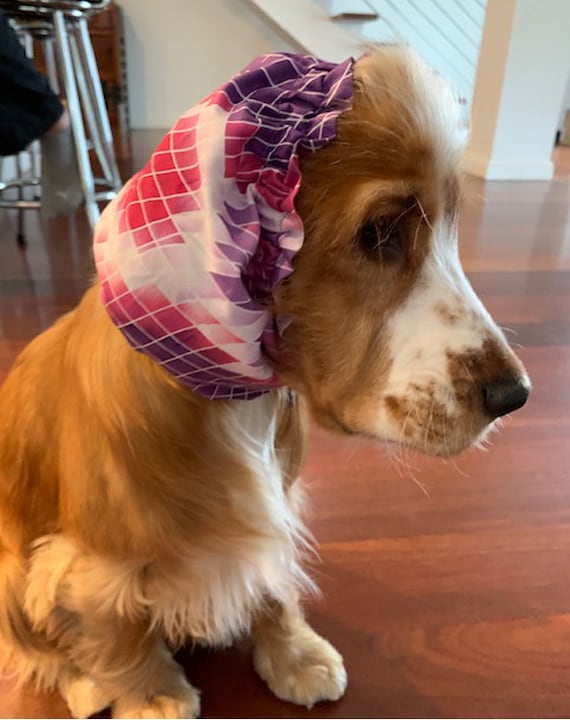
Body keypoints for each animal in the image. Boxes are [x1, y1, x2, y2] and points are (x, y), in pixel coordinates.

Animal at [0, 45, 529, 718]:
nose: (515, 397)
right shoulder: (92, 559)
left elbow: (275, 583)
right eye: (379, 233)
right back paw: (89, 685)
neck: (230, 399)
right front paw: (151, 695)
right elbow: (116, 627)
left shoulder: (278, 503)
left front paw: (295, 656)